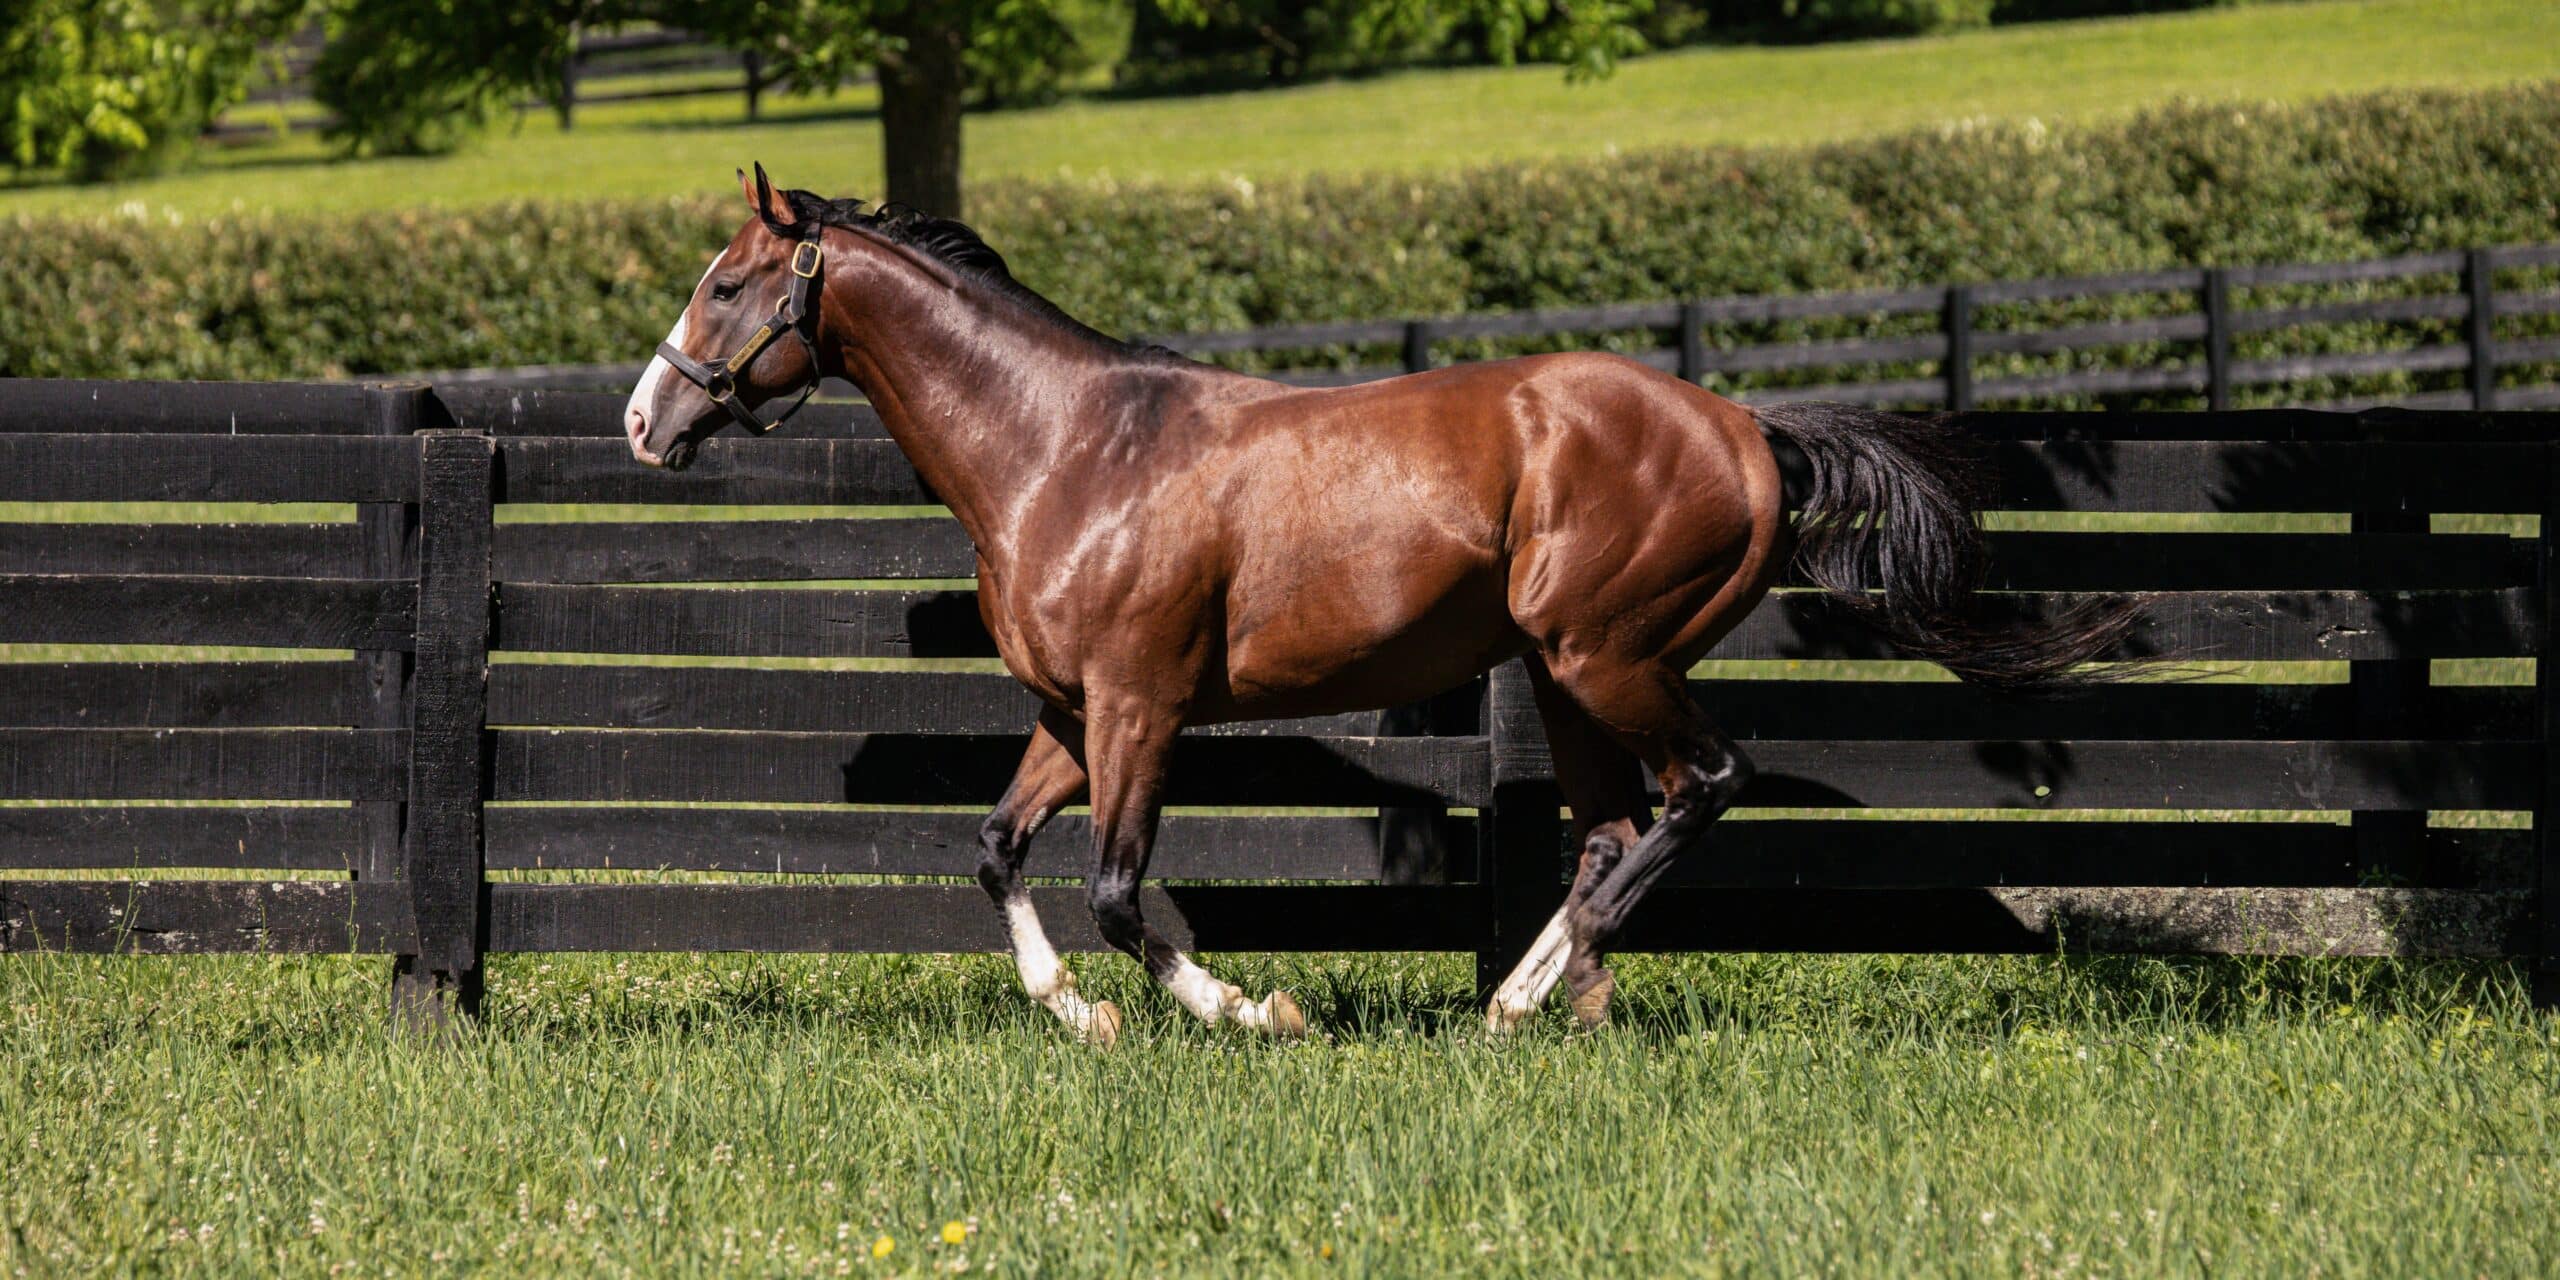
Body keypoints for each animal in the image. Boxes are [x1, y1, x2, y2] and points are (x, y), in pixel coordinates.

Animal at [624, 165, 2140, 1044]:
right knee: (1610, 828)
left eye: (724, 285)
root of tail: (1748, 428)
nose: (644, 421)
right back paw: (1533, 1005)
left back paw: (1540, 986)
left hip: (1605, 654)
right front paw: (1084, 1020)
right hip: (1562, 673)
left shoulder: (1141, 710)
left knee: (1701, 787)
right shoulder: (1071, 712)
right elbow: (1000, 851)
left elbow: (1116, 889)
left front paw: (1256, 1010)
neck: (1068, 449)